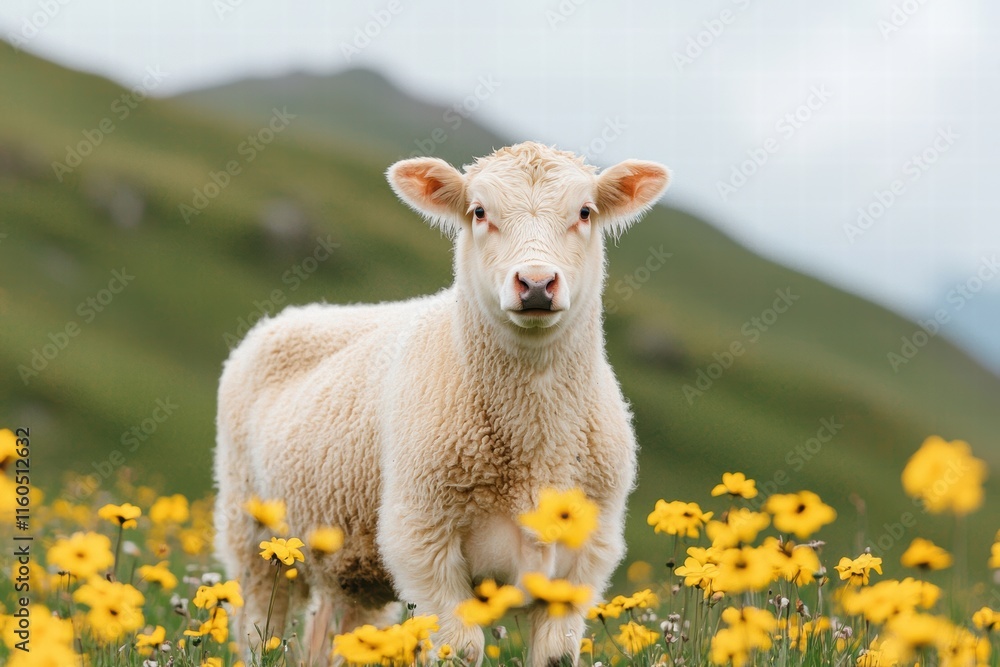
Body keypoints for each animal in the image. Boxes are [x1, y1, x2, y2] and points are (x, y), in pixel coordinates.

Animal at [213, 141, 670, 666]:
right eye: (479, 211)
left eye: (585, 212)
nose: (536, 283)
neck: (536, 444)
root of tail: (299, 312)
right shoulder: (422, 539)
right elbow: (461, 649)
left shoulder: (584, 557)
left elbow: (556, 655)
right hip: (252, 533)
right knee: (259, 628)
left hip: (351, 565)